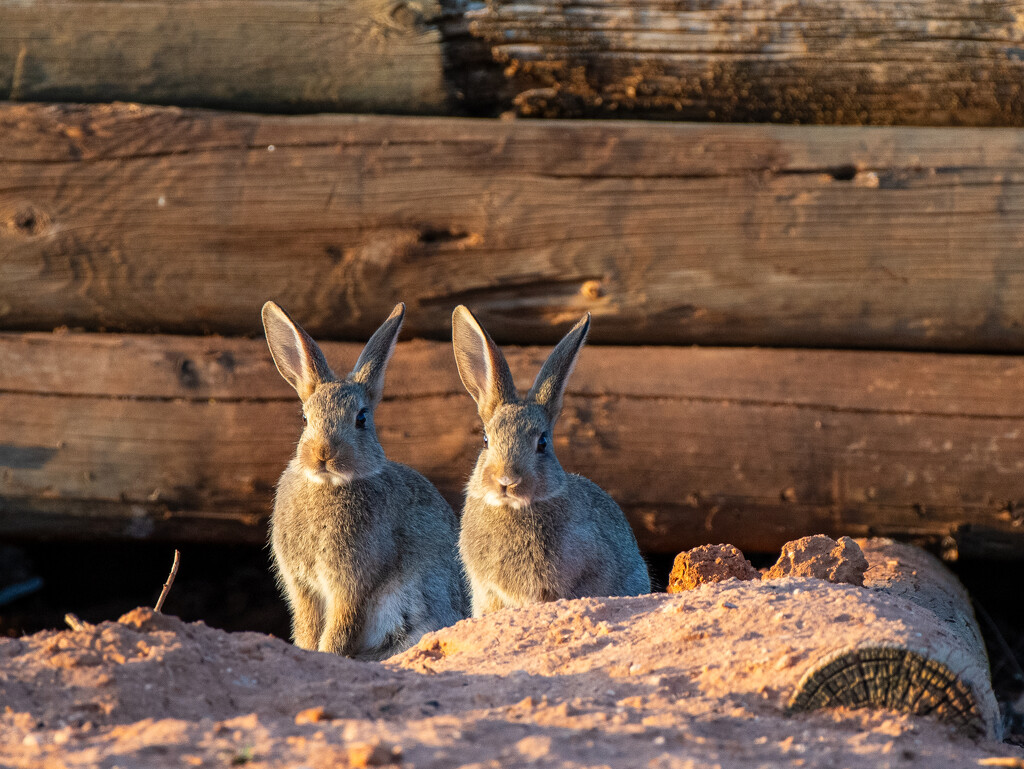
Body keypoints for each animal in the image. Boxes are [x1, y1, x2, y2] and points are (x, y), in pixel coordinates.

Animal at [260, 303, 468, 663]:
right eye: (304, 418)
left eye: (361, 419)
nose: (323, 453)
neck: (328, 484)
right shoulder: (303, 588)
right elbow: (307, 628)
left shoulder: (353, 583)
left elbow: (340, 628)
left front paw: (329, 654)